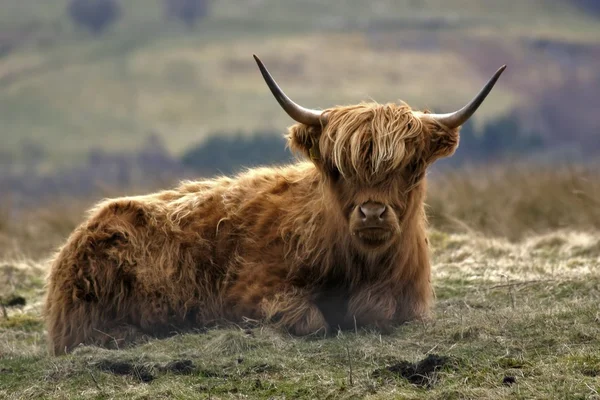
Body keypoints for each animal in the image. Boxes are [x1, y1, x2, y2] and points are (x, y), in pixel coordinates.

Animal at [44, 54, 506, 354]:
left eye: (411, 166)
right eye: (336, 168)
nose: (373, 213)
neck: (356, 265)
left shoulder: (409, 297)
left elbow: (379, 310)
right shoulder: (250, 291)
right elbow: (309, 319)